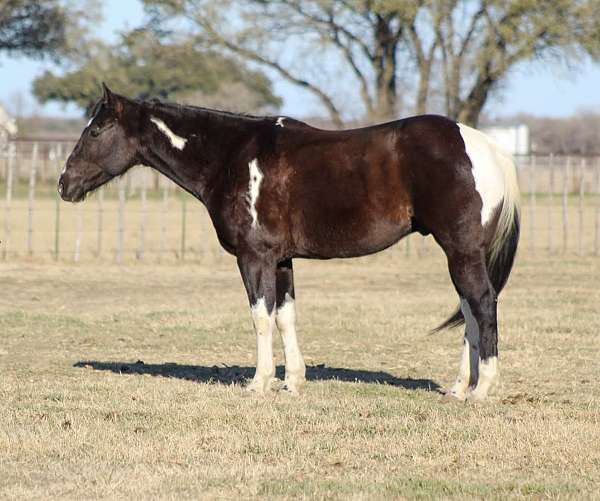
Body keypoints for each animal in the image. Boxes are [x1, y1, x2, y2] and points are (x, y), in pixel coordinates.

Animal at [61, 85, 520, 398]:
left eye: (97, 130)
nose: (65, 184)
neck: (232, 156)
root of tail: (484, 145)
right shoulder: (282, 260)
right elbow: (286, 316)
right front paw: (293, 382)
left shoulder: (254, 257)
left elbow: (261, 317)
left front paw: (258, 382)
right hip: (463, 254)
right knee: (469, 310)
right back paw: (459, 387)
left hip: (461, 251)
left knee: (482, 304)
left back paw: (482, 389)